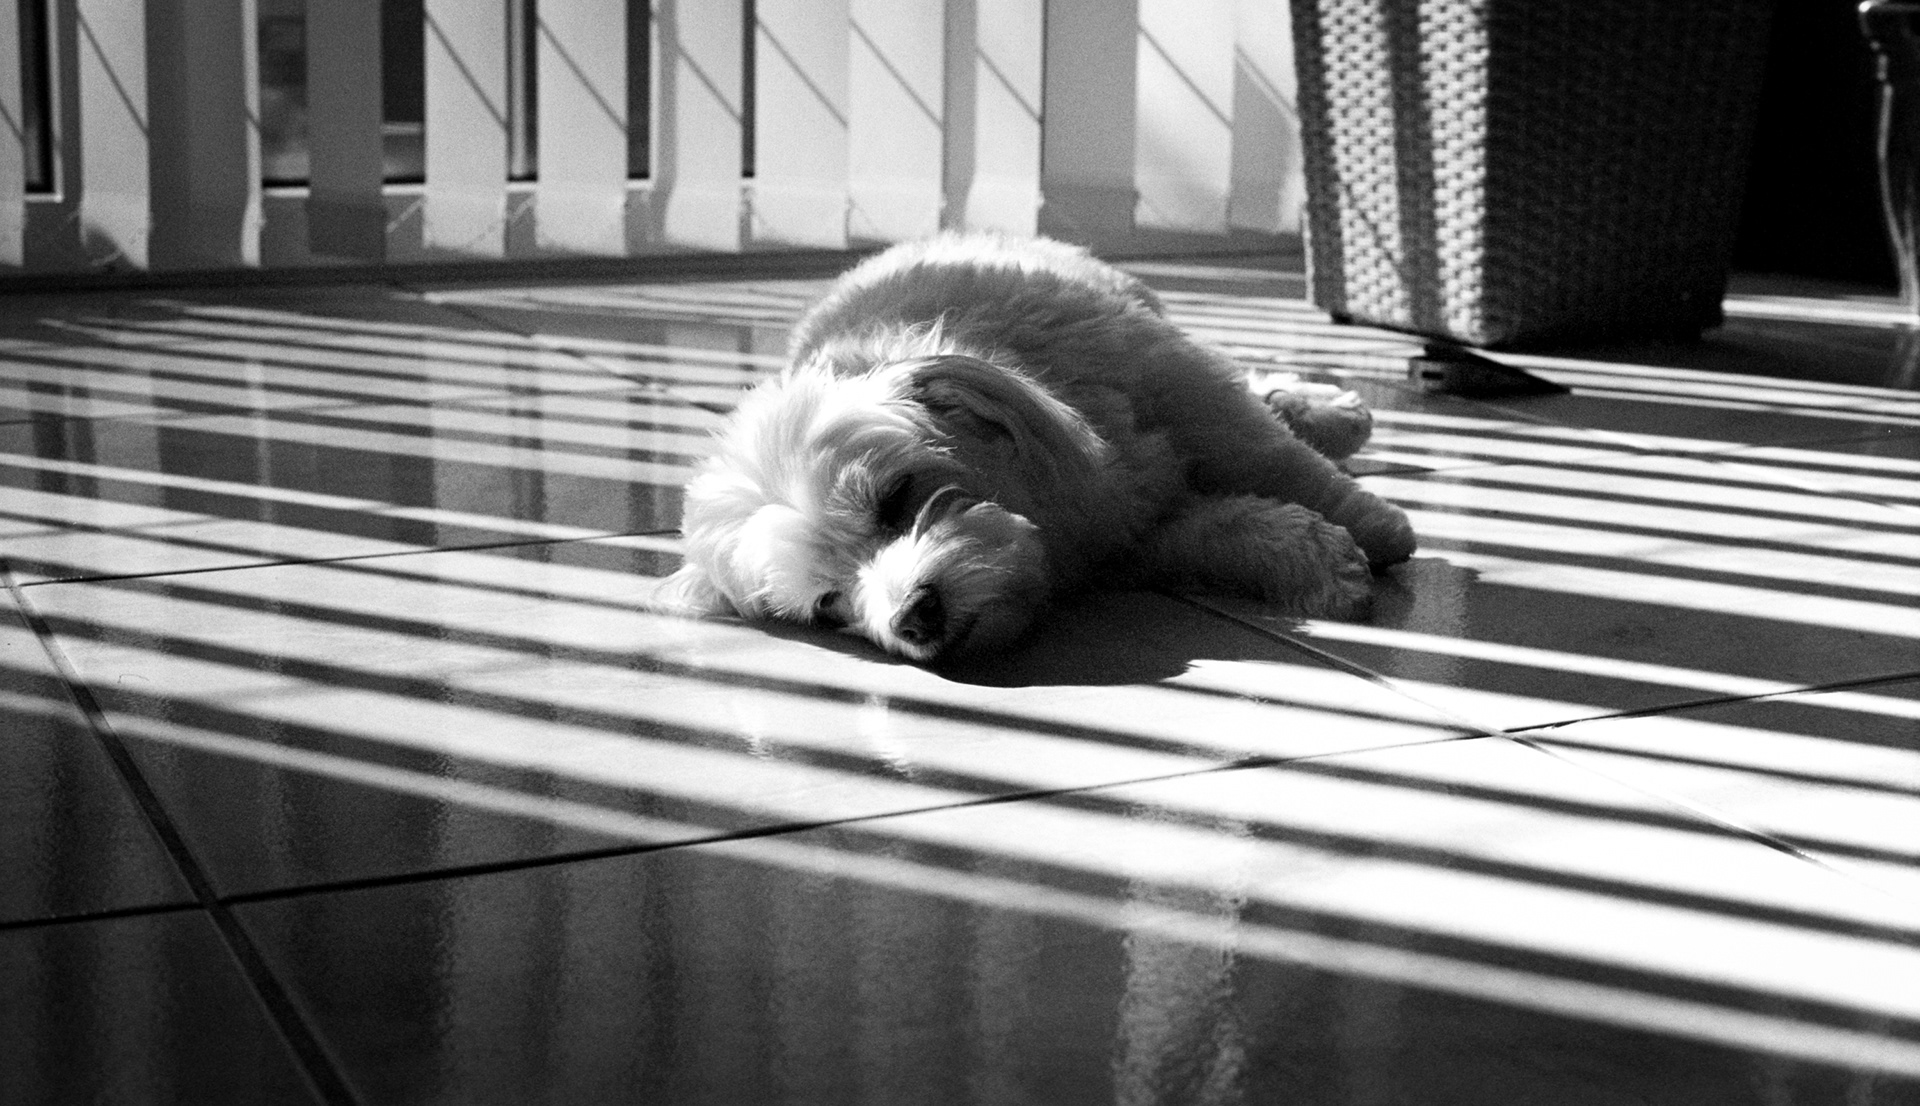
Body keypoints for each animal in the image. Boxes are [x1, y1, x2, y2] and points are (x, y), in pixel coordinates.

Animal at [658, 234, 1416, 663]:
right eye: (827, 606)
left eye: (896, 498)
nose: (914, 617)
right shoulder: (1133, 541)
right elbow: (1220, 527)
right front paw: (1313, 559)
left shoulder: (1176, 387)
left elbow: (1271, 456)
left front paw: (1374, 525)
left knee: (1255, 397)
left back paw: (1329, 411)